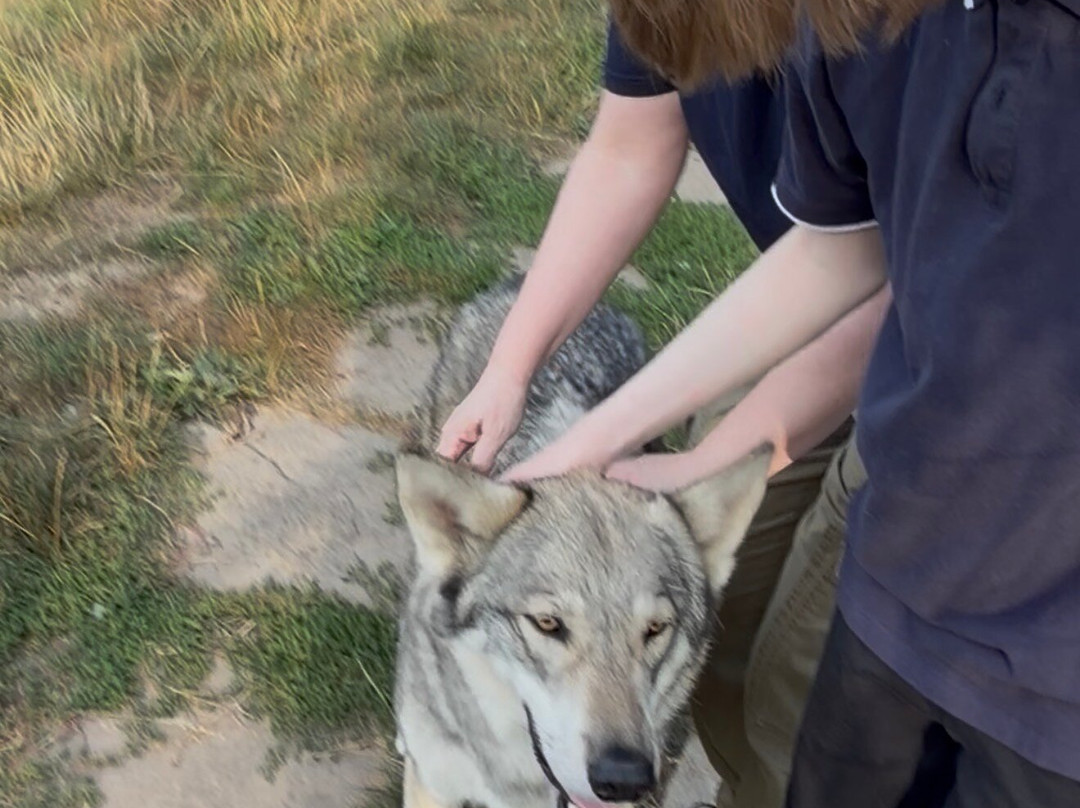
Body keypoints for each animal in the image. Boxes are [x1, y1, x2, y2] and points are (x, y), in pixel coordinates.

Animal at [394, 278, 771, 808]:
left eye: (656, 629)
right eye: (548, 624)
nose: (624, 778)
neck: (519, 789)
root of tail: (518, 279)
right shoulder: (435, 787)